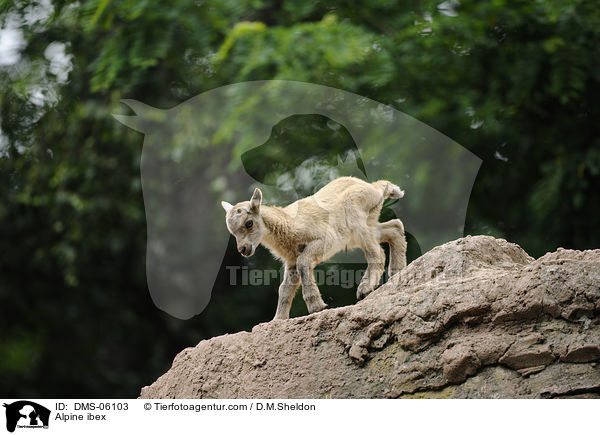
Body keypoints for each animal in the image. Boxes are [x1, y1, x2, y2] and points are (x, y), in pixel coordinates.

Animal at [221, 176, 408, 320]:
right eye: (231, 231)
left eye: (249, 223)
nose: (243, 249)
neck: (288, 224)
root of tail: (375, 188)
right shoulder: (291, 262)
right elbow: (285, 289)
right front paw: (277, 319)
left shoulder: (325, 240)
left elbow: (304, 264)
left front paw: (317, 306)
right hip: (365, 227)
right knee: (394, 228)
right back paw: (397, 271)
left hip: (356, 220)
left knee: (377, 253)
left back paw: (365, 289)